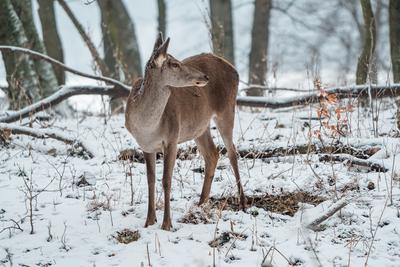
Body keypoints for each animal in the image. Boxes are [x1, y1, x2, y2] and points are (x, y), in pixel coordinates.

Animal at [125, 33, 245, 230]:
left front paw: (166, 224)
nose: (204, 76)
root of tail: (234, 69)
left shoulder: (172, 137)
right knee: (212, 154)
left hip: (226, 109)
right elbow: (150, 180)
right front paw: (149, 221)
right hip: (199, 126)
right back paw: (201, 203)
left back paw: (242, 202)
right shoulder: (145, 145)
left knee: (232, 152)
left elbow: (166, 180)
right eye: (174, 64)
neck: (147, 126)